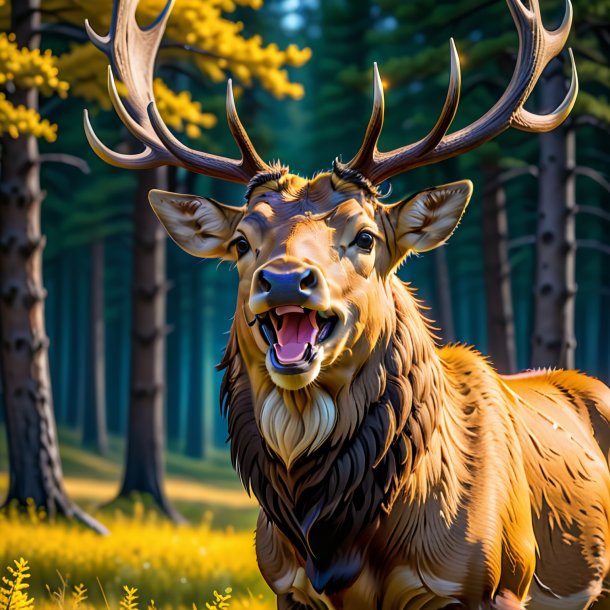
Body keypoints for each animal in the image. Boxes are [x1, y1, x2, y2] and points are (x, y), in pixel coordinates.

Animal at [84, 1, 608, 608]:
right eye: (241, 241)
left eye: (365, 236)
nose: (285, 280)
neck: (340, 548)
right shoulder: (284, 585)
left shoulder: (496, 579)